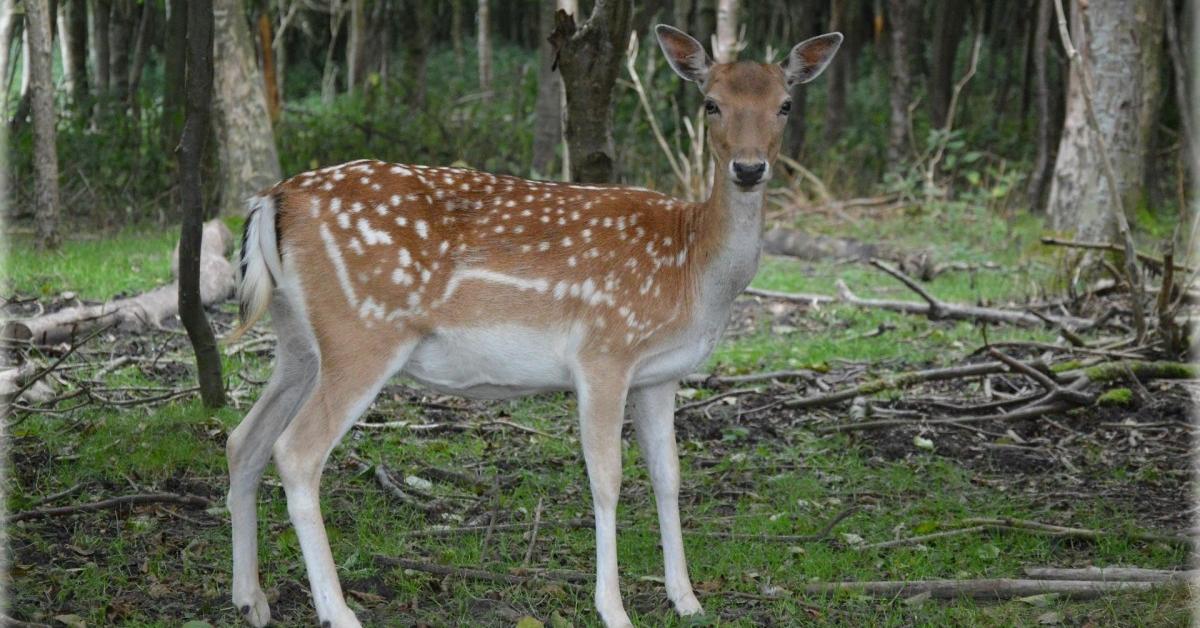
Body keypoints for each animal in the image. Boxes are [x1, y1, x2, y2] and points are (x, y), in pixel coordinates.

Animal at [226, 25, 844, 628]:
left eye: (785, 104)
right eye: (711, 103)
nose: (749, 168)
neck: (692, 270)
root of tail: (272, 199)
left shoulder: (659, 374)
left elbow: (668, 475)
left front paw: (687, 600)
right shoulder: (604, 350)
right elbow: (607, 478)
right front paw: (613, 609)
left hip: (299, 341)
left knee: (244, 439)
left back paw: (250, 600)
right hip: (363, 331)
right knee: (296, 452)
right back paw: (338, 612)